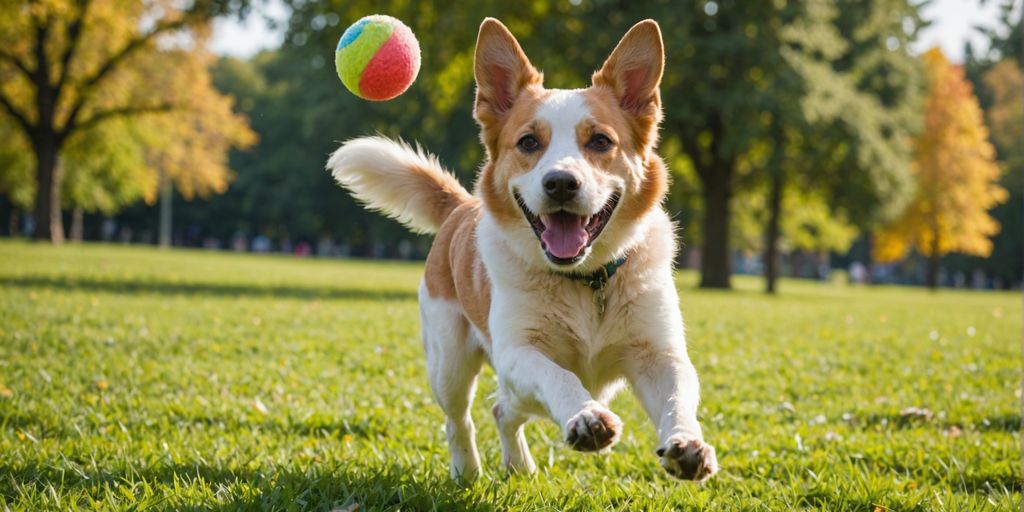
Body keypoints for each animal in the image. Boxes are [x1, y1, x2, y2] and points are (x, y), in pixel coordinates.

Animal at [325, 17, 712, 483]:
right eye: (529, 142)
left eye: (600, 141)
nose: (561, 182)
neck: (585, 280)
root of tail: (462, 205)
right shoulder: (518, 353)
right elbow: (558, 376)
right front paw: (586, 417)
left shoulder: (659, 355)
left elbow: (677, 399)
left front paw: (687, 444)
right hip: (449, 364)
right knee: (461, 418)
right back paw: (467, 472)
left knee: (503, 409)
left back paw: (518, 465)